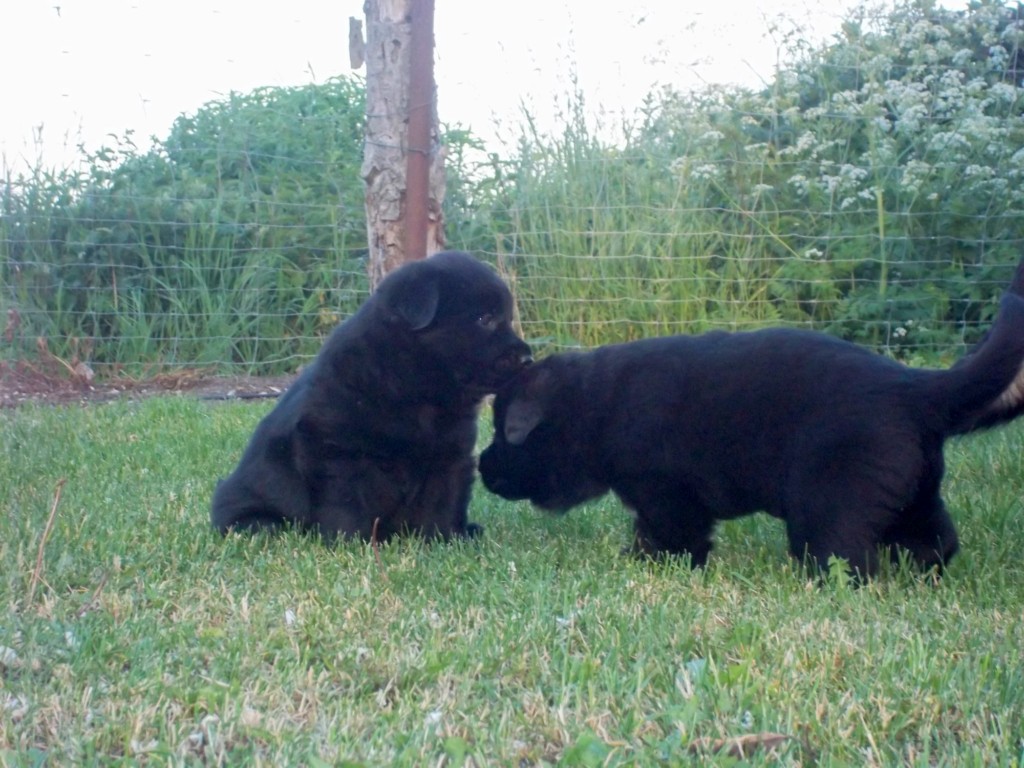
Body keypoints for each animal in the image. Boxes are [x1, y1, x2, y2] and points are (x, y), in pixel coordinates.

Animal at [217, 250, 536, 540]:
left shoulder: (449, 454)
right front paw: (351, 544)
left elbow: (444, 500)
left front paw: (446, 540)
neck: (416, 389)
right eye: (485, 319)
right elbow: (346, 503)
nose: (527, 359)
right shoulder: (337, 452)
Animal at [477, 270, 1024, 577]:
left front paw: (653, 566)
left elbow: (668, 534)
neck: (597, 405)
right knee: (935, 539)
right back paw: (921, 573)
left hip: (829, 501)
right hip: (914, 491)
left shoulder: (666, 492)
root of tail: (912, 388)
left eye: (504, 433)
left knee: (845, 557)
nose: (481, 465)